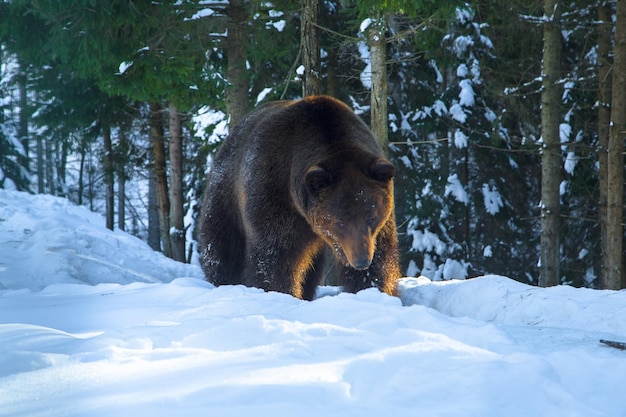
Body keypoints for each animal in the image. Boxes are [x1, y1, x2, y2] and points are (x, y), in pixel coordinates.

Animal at [196, 94, 400, 300]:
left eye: (372, 218)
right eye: (340, 222)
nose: (361, 261)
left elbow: (381, 257)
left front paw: (370, 289)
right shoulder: (274, 195)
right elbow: (275, 255)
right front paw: (281, 291)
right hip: (226, 196)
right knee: (222, 248)